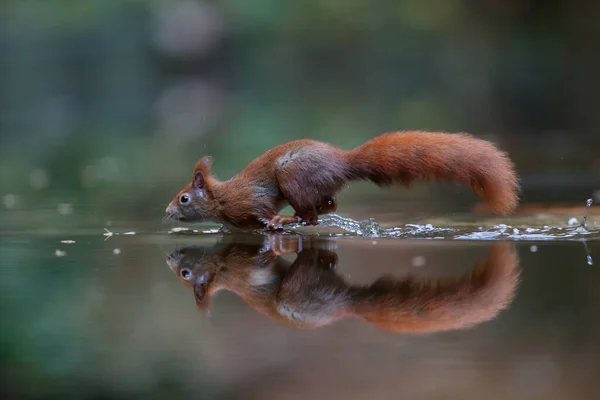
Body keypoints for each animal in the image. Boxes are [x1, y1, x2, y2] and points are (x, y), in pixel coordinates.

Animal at [165, 131, 520, 230]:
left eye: (184, 198)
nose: (167, 212)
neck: (220, 199)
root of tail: (342, 162)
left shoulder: (249, 200)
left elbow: (262, 210)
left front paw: (272, 221)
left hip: (292, 177)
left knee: (309, 213)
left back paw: (291, 219)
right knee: (331, 204)